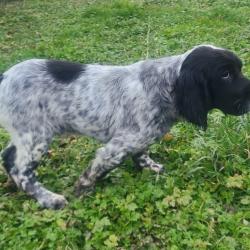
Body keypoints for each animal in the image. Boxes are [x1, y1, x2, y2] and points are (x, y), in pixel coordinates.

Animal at [0, 45, 250, 209]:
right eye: (225, 74)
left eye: (238, 69)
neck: (164, 86)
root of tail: (4, 77)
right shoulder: (115, 147)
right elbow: (96, 170)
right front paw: (82, 190)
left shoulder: (140, 139)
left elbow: (142, 154)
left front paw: (150, 167)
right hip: (36, 136)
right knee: (21, 170)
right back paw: (49, 199)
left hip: (24, 134)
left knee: (8, 156)